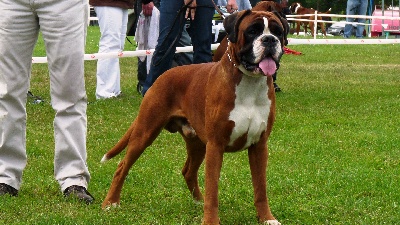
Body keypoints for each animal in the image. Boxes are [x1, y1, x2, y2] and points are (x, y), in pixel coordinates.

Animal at [101, 9, 286, 225]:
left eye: (278, 31)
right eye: (252, 31)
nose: (269, 40)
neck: (249, 82)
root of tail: (162, 76)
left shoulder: (259, 146)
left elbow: (260, 188)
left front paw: (266, 218)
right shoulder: (216, 146)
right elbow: (213, 190)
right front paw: (211, 220)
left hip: (197, 144)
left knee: (188, 171)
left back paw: (198, 200)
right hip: (145, 133)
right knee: (122, 166)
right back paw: (110, 203)